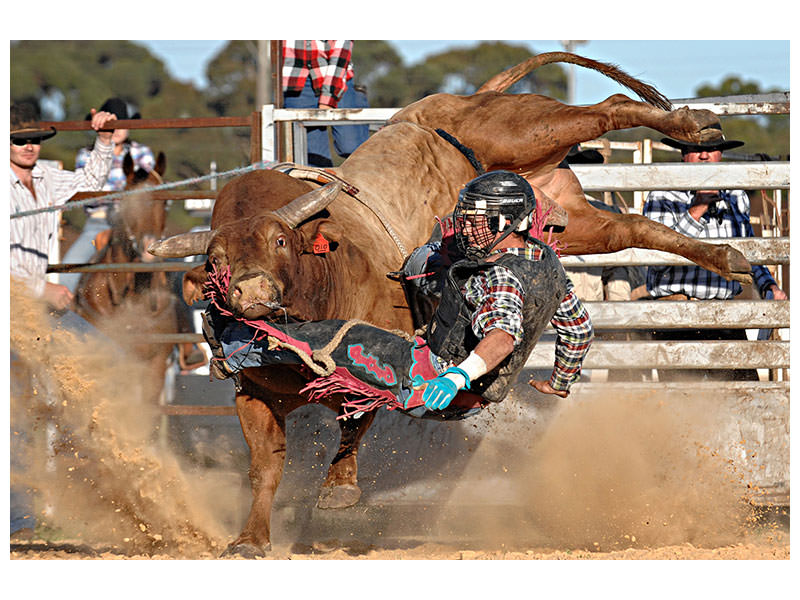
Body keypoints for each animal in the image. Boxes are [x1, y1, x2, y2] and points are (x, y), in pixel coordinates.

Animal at [150, 51, 752, 556]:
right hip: (572, 219)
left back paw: (694, 125)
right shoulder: (254, 394)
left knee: (604, 109)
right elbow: (265, 468)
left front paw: (340, 489)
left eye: (279, 241)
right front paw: (250, 539)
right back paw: (727, 258)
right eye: (215, 259)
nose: (251, 293)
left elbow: (355, 422)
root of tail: (463, 99)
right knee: (632, 225)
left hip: (522, 131)